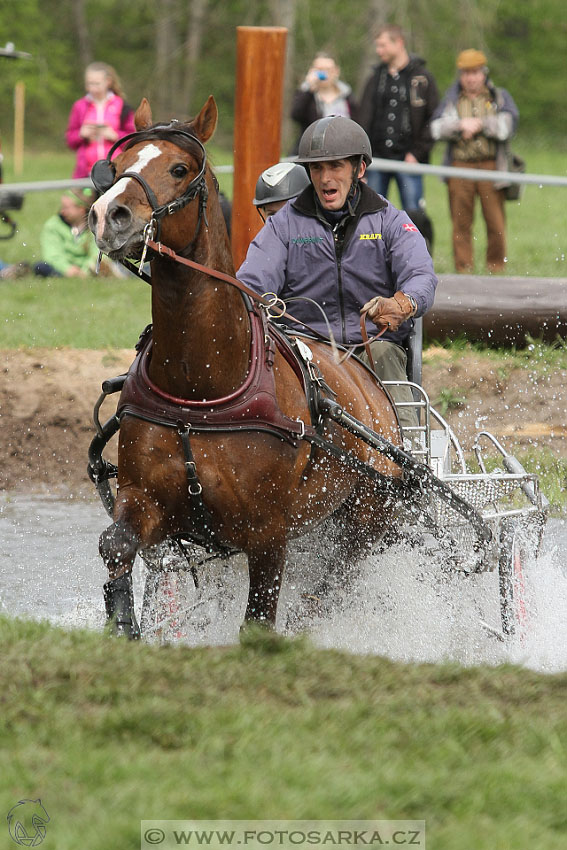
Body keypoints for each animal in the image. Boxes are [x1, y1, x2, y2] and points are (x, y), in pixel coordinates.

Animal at [89, 94, 404, 636]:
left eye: (179, 168)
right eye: (119, 164)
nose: (109, 214)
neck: (200, 387)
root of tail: (372, 387)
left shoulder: (267, 533)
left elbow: (258, 619)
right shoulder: (147, 499)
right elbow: (116, 546)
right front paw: (124, 624)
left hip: (364, 522)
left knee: (333, 588)